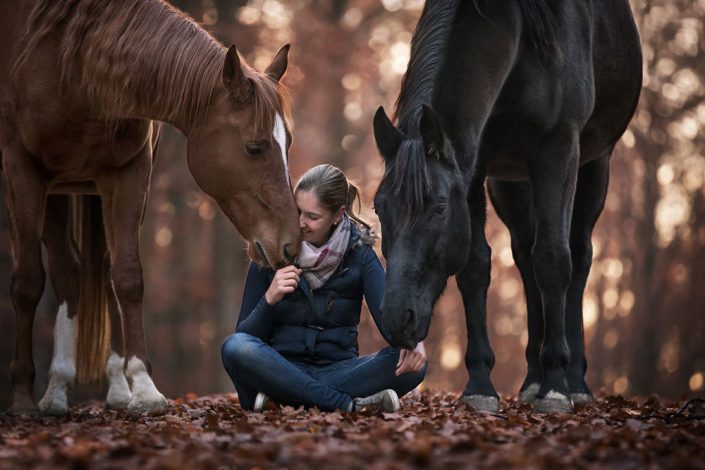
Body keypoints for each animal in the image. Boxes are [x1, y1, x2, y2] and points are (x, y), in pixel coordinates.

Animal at [0, 0, 301, 416]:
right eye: (254, 147)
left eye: (288, 143)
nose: (292, 244)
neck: (72, 60)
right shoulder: (22, 168)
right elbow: (27, 282)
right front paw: (20, 396)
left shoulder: (129, 171)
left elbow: (127, 276)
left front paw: (142, 388)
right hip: (49, 188)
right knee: (62, 272)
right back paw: (51, 392)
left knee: (83, 270)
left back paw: (95, 388)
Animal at [372, 0, 642, 413]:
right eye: (378, 209)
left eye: (438, 209)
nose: (396, 319)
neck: (520, 41)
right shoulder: (474, 161)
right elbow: (476, 266)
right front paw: (481, 386)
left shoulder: (559, 149)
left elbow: (554, 260)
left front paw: (556, 388)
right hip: (511, 183)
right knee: (525, 259)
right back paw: (532, 380)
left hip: (596, 164)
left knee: (577, 257)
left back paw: (574, 381)